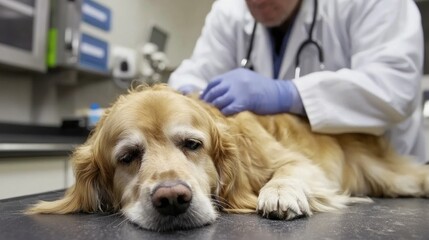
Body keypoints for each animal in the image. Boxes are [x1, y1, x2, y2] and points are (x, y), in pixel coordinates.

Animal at [27, 84, 428, 231]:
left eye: (192, 144)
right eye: (128, 156)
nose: (172, 199)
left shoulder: (299, 163)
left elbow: (287, 172)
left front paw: (279, 193)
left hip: (394, 176)